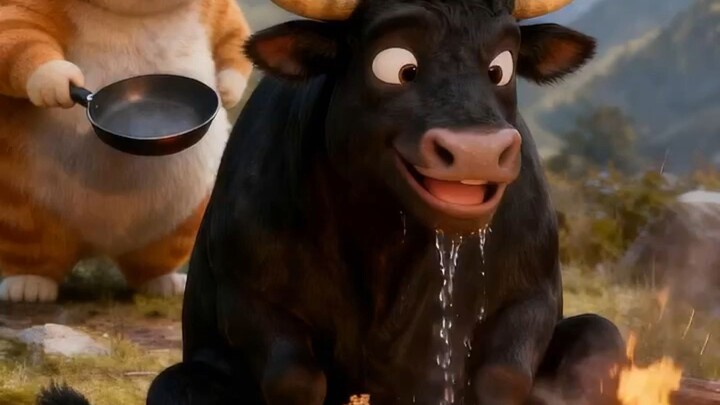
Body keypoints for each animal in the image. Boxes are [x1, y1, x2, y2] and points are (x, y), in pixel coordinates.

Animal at [37, 0, 627, 404]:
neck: (382, 242)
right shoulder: (246, 296)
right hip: (183, 377)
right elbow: (294, 377)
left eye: (501, 66)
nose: (477, 151)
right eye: (396, 65)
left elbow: (503, 375)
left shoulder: (532, 292)